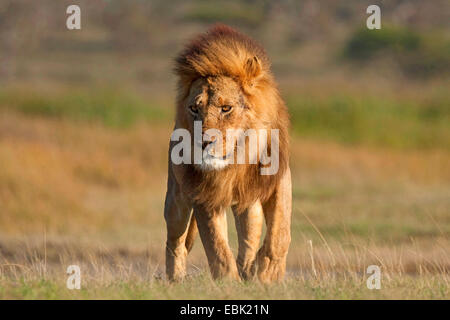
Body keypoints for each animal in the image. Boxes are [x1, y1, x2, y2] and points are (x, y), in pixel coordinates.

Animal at [165, 25, 292, 284]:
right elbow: (217, 247)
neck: (236, 162)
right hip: (176, 200)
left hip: (249, 204)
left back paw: (248, 269)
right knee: (175, 241)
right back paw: (175, 280)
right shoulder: (204, 194)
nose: (203, 142)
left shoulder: (279, 179)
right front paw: (228, 282)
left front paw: (267, 273)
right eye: (194, 109)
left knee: (249, 238)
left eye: (226, 108)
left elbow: (279, 233)